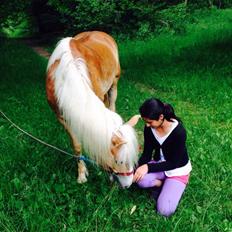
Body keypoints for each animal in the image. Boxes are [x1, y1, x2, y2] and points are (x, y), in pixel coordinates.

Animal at [45, 30, 140, 188]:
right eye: (119, 161)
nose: (128, 185)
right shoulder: (61, 117)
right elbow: (77, 145)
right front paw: (82, 174)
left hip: (114, 83)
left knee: (112, 104)